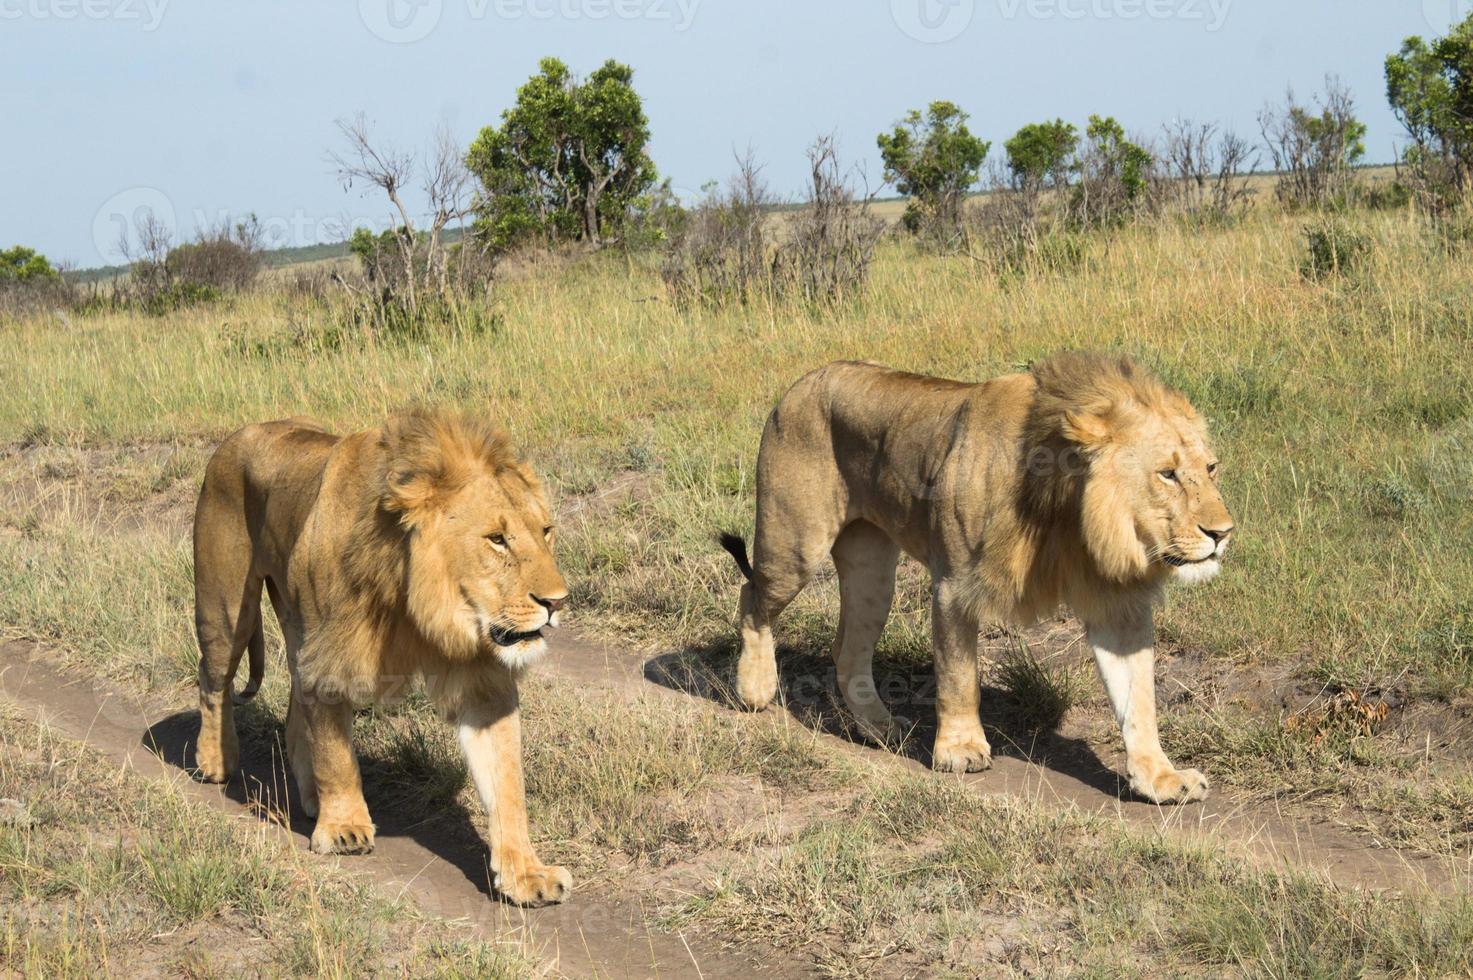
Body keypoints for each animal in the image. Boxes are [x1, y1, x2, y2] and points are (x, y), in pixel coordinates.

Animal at [198, 409, 577, 907]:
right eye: (497, 539)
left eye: (545, 531)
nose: (556, 602)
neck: (419, 602)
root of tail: (237, 435)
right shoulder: (331, 657)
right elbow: (337, 754)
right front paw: (343, 828)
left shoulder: (483, 682)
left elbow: (507, 782)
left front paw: (526, 874)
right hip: (226, 609)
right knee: (213, 680)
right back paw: (215, 761)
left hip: (297, 624)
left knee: (295, 705)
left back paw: (310, 794)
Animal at [721, 352, 1231, 801]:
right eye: (1167, 474)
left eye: (1210, 467)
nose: (1223, 533)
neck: (1067, 514)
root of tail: (801, 382)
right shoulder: (955, 586)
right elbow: (958, 675)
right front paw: (960, 750)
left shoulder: (1118, 603)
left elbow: (1138, 698)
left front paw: (1161, 779)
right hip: (795, 545)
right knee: (751, 596)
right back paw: (755, 689)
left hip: (872, 572)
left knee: (847, 650)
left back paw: (878, 727)